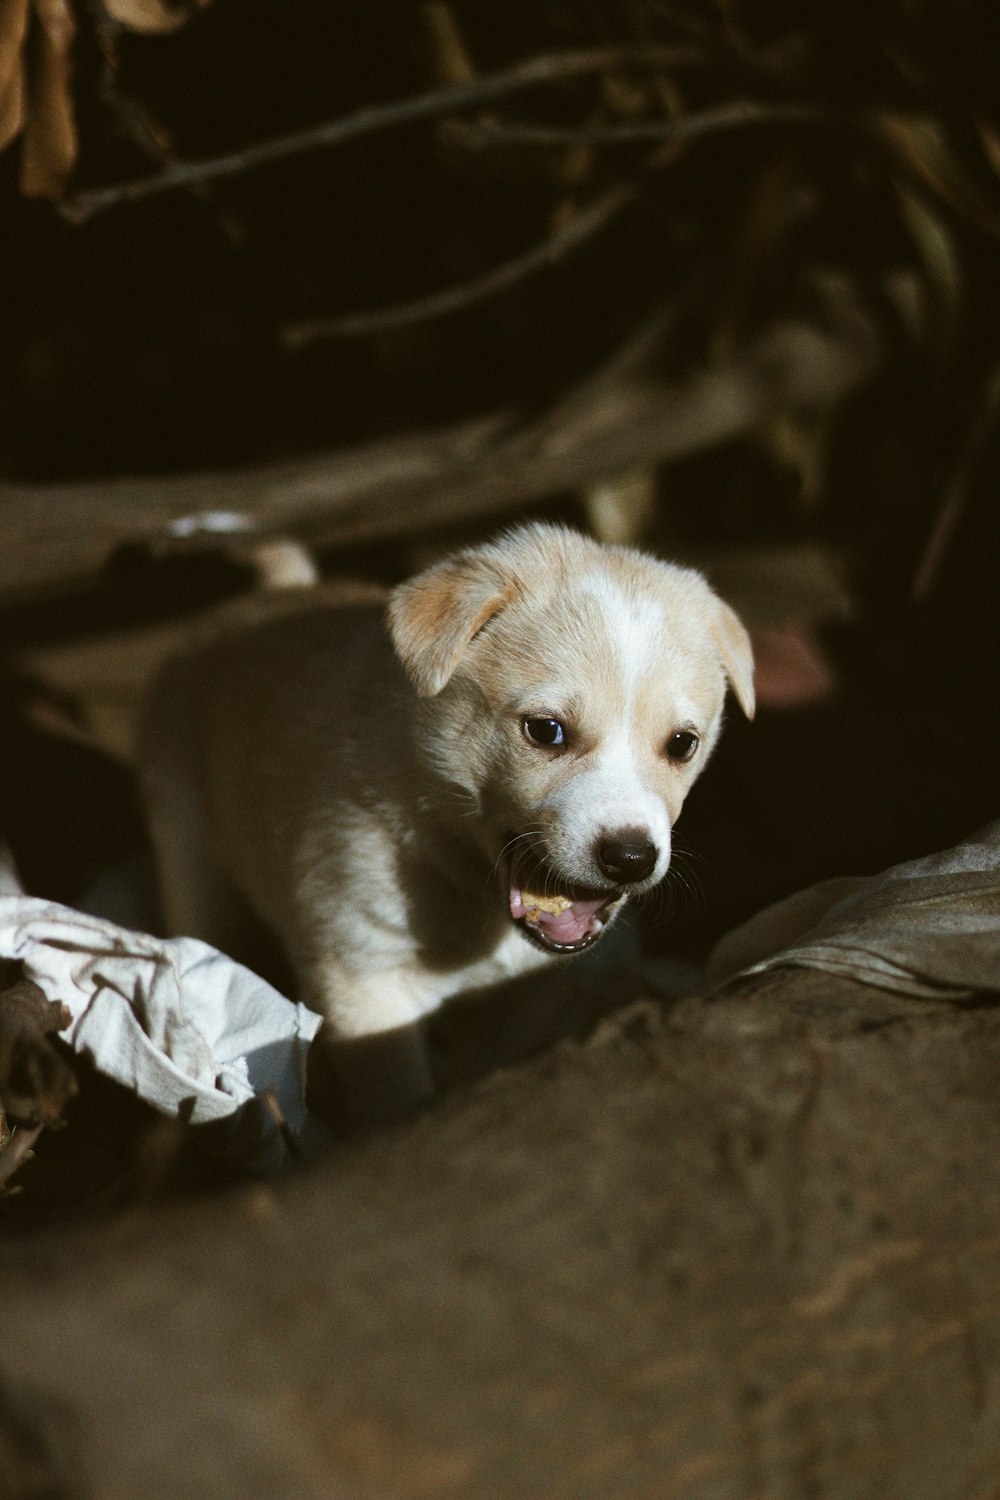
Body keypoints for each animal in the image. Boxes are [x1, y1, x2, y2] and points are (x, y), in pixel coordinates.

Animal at [138, 525, 749, 1116]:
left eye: (682, 744)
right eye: (546, 731)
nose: (630, 858)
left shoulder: (528, 999)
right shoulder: (364, 987)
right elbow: (403, 1101)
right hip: (187, 854)